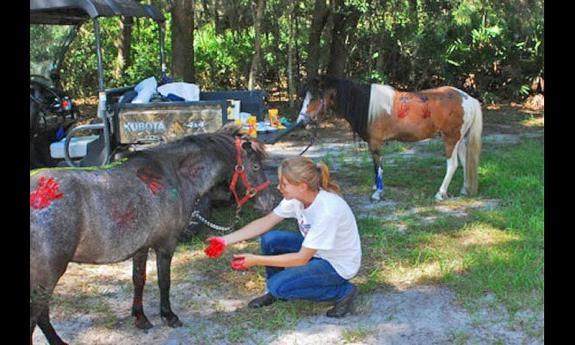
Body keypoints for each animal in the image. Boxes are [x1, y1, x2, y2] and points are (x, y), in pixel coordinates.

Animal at [29, 125, 276, 344]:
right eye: (255, 166)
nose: (270, 202)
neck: (173, 175)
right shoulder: (165, 244)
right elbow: (164, 281)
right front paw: (168, 315)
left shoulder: (141, 247)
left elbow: (139, 280)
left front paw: (140, 318)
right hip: (47, 275)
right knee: (38, 314)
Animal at [300, 76, 484, 200]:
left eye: (315, 97)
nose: (301, 121)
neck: (368, 106)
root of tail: (468, 98)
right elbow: (375, 168)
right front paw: (376, 187)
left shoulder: (375, 143)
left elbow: (379, 167)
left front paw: (377, 193)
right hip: (459, 139)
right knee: (465, 162)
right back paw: (464, 189)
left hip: (450, 139)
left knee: (452, 165)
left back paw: (440, 193)